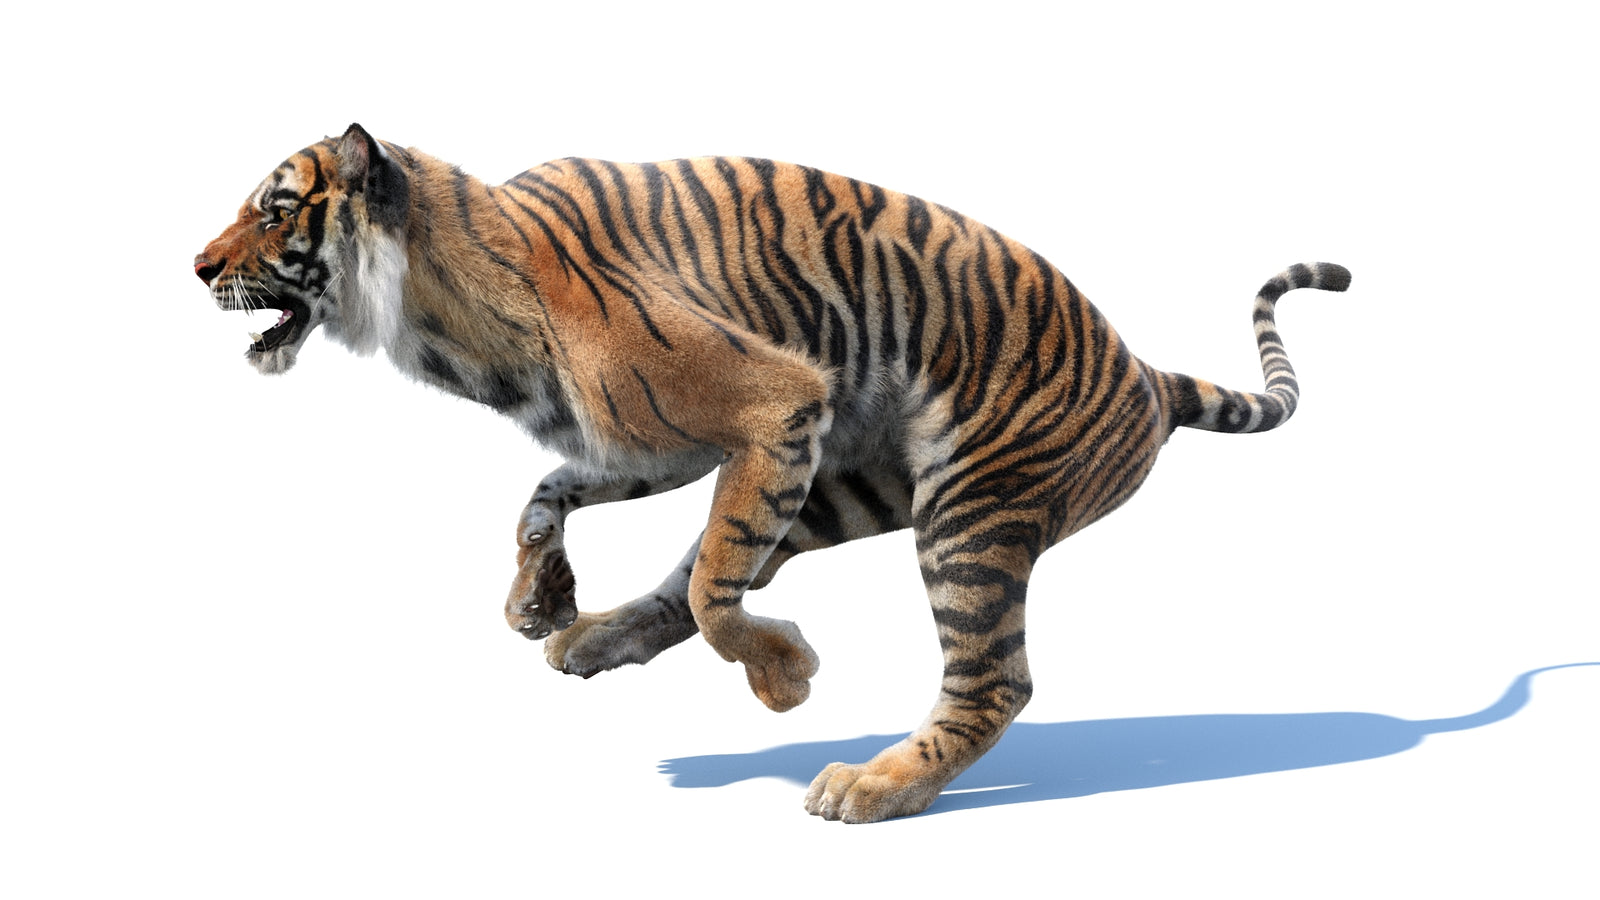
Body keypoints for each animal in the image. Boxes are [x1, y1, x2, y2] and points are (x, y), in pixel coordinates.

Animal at [195, 123, 1349, 823]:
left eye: (274, 210)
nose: (197, 267)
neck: (444, 313)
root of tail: (1143, 371)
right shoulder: (661, 443)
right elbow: (551, 497)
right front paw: (538, 598)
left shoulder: (772, 403)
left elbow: (715, 590)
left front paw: (785, 679)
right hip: (841, 488)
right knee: (703, 576)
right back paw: (591, 637)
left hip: (965, 510)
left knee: (990, 677)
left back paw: (875, 786)